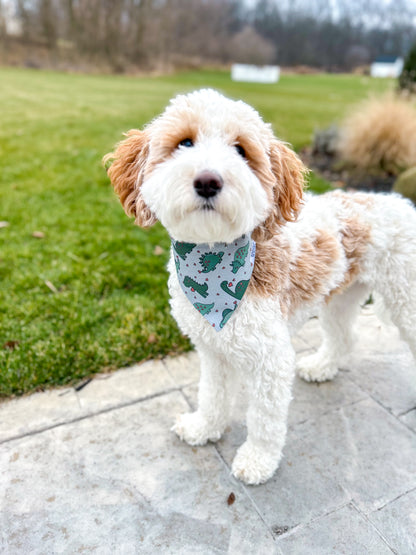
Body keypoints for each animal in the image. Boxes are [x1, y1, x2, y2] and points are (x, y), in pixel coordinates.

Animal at [105, 89, 416, 484]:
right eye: (184, 142)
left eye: (241, 150)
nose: (208, 181)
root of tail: (401, 203)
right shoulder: (213, 350)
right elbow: (212, 395)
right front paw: (204, 428)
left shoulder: (270, 359)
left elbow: (264, 419)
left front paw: (257, 461)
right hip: (340, 298)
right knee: (344, 337)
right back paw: (322, 367)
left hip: (404, 296)